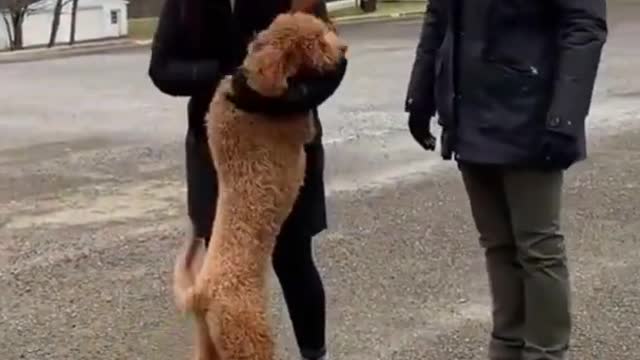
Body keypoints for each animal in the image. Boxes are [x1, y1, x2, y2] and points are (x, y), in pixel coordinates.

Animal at [172, 9, 348, 358]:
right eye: (317, 39)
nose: (344, 50)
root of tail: (201, 293)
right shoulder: (298, 124)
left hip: (208, 344)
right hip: (250, 337)